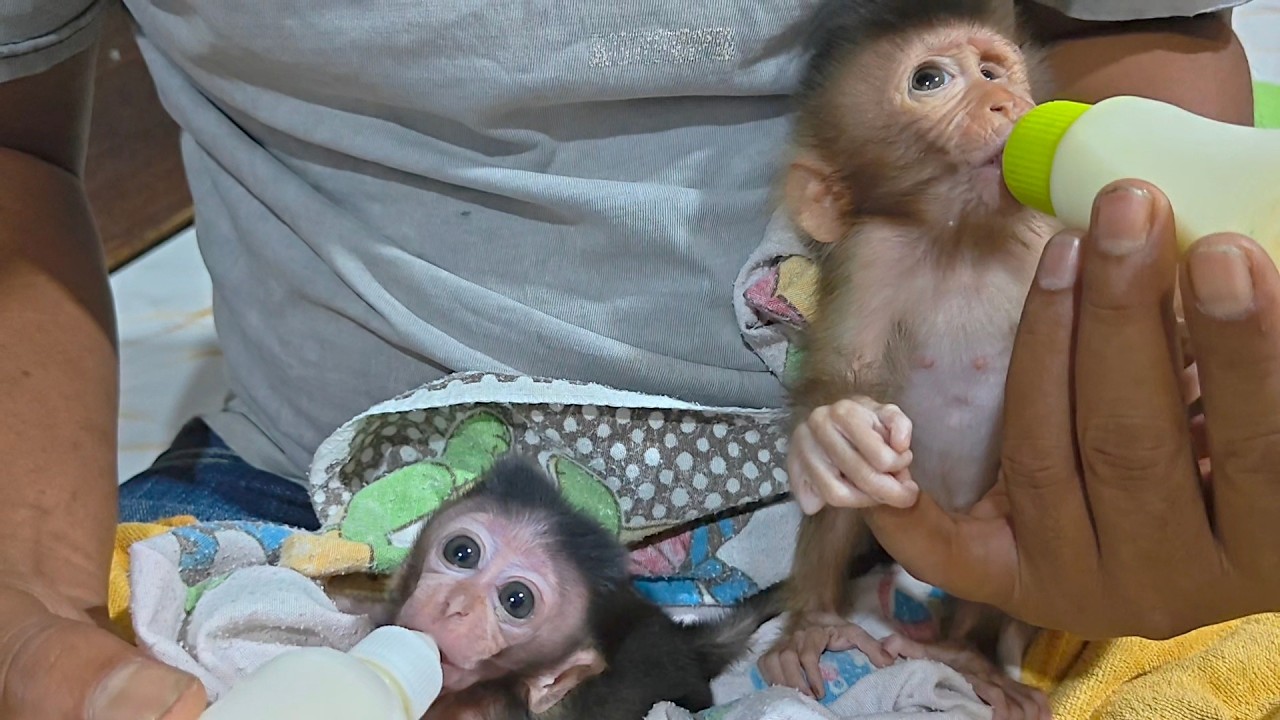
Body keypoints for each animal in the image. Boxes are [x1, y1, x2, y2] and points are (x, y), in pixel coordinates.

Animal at [754, 1, 1058, 717]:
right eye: (929, 80)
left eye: (991, 69)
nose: (1006, 100)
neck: (966, 239)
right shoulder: (874, 255)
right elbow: (846, 376)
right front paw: (833, 432)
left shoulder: (1048, 239)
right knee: (845, 498)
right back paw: (813, 627)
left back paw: (968, 657)